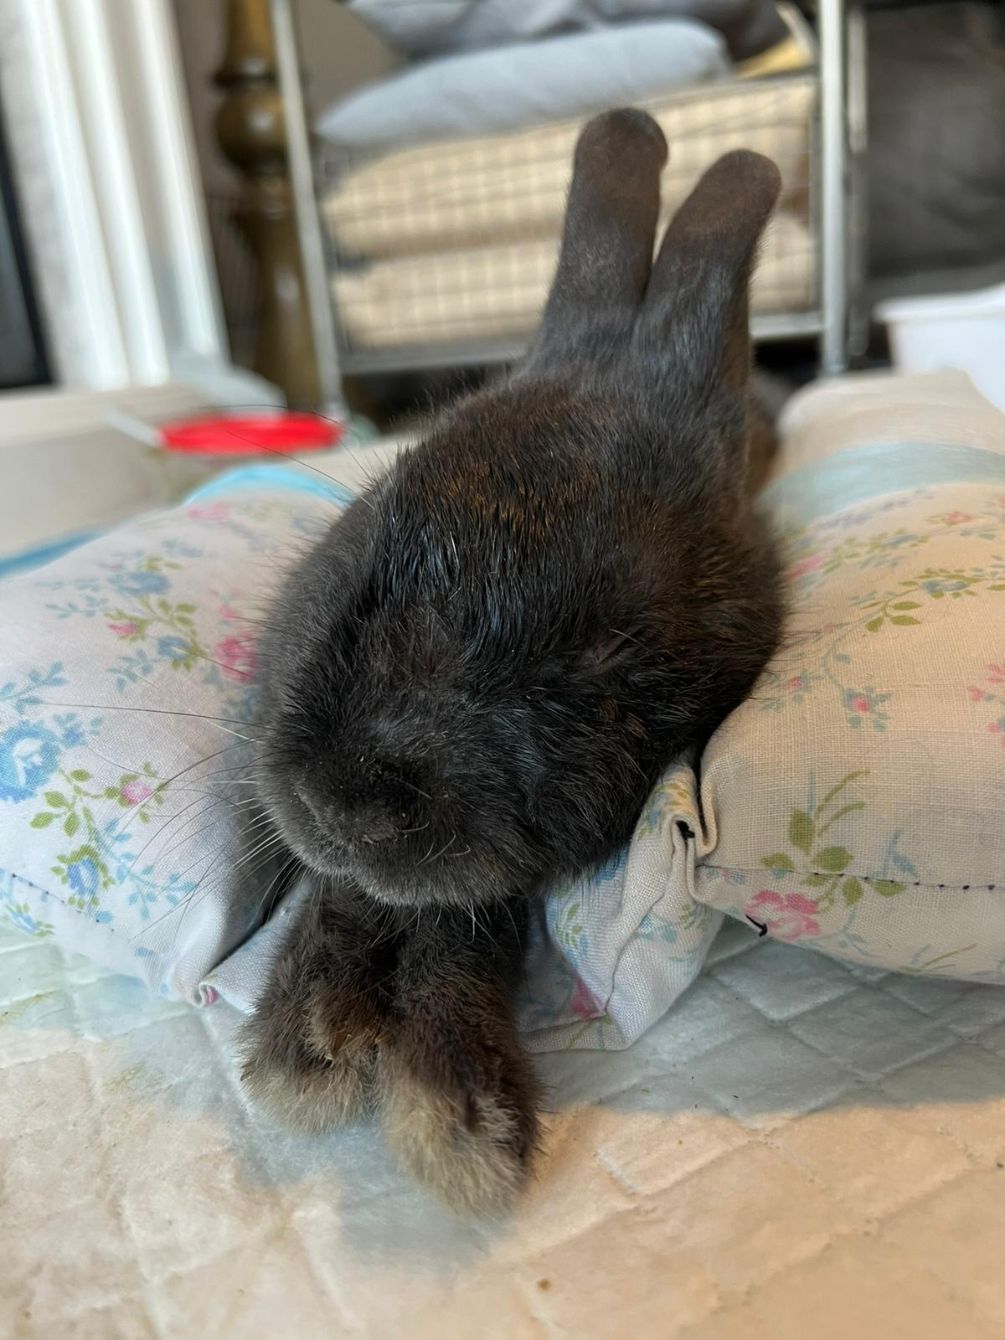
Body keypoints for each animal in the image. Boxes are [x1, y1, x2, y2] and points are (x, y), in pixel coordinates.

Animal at [241, 108, 784, 1215]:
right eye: (375, 529)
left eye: (607, 656)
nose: (344, 804)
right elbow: (360, 896)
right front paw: (309, 1050)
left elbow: (459, 919)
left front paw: (449, 1120)